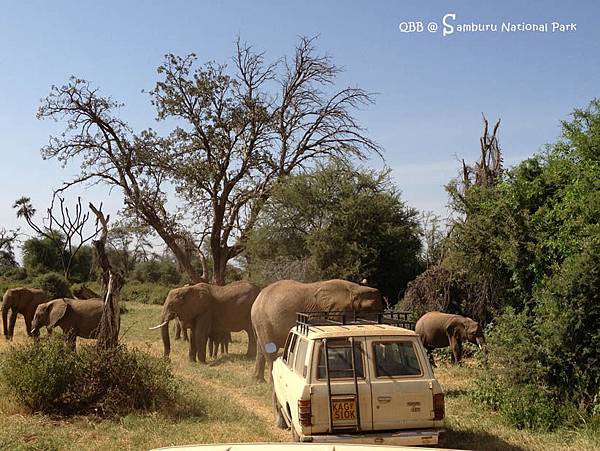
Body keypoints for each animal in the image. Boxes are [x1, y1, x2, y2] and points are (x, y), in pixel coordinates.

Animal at [250, 280, 382, 384]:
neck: (355, 289)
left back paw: (259, 381)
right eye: (370, 308)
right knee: (269, 349)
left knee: (260, 349)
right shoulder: (332, 312)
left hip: (259, 322)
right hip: (264, 321)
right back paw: (271, 383)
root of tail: (257, 298)